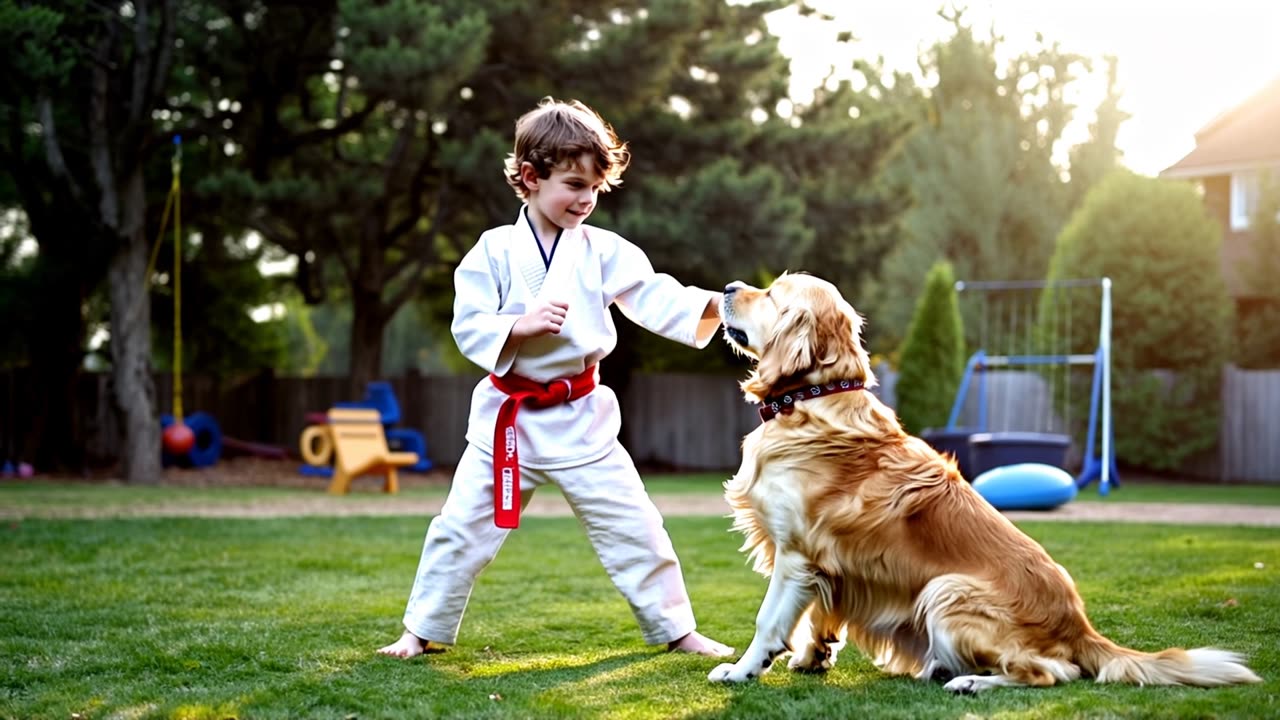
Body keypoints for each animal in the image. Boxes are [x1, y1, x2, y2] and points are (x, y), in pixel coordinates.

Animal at [711, 272, 1259, 691]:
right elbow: (817, 618)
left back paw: (971, 680)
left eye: (773, 294)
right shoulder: (828, 565)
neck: (814, 399)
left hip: (947, 589)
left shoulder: (796, 553)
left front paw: (743, 670)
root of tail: (1081, 627)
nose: (729, 285)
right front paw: (812, 656)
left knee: (1051, 672)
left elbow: (768, 620)